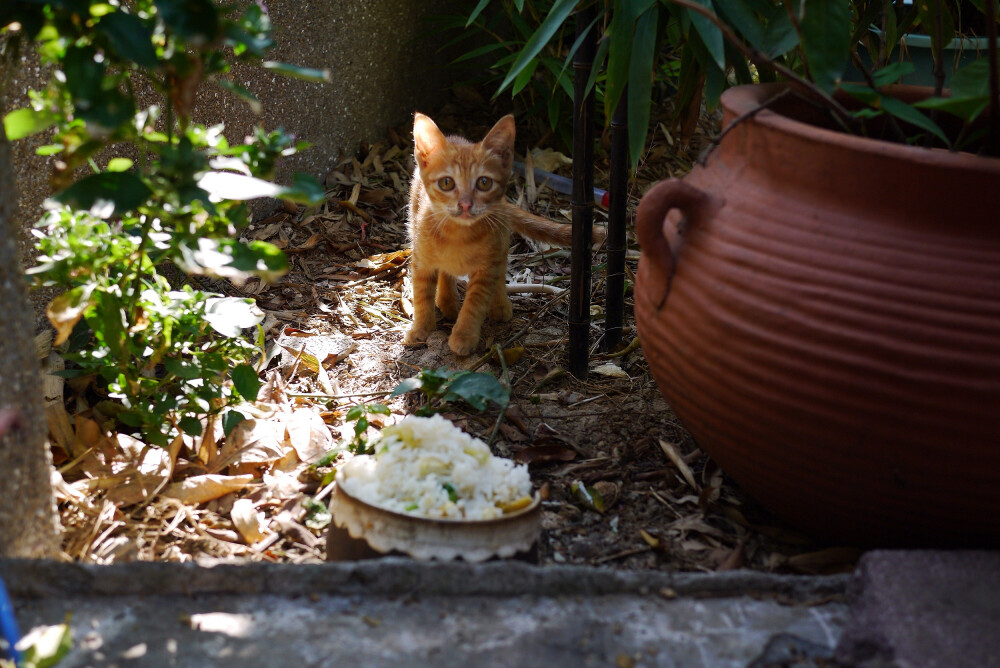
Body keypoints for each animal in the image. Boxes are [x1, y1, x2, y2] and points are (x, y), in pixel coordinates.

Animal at [404, 114, 592, 354]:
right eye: (447, 183)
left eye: (484, 182)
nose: (465, 204)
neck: (458, 235)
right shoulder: (422, 260)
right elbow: (422, 295)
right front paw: (421, 328)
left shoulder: (486, 267)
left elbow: (474, 304)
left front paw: (464, 335)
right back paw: (448, 301)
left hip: (501, 240)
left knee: (500, 272)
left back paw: (498, 304)